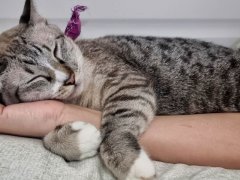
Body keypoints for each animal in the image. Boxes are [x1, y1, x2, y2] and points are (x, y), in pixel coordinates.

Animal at [0, 0, 240, 180]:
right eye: (38, 78)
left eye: (57, 51)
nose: (70, 78)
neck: (80, 99)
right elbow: (47, 140)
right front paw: (80, 139)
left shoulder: (129, 82)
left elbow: (115, 127)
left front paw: (130, 164)